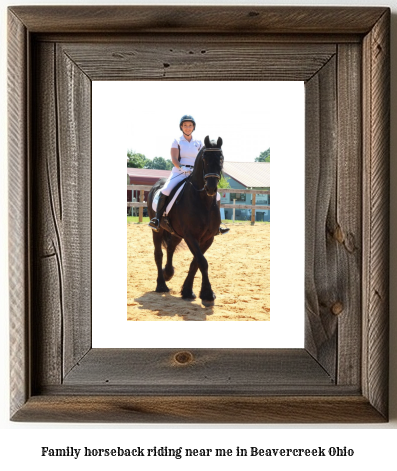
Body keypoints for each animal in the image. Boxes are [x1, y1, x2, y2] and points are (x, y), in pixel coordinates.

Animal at [147, 135, 224, 308]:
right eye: (205, 159)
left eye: (221, 159)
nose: (211, 188)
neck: (203, 201)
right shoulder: (190, 236)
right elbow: (202, 261)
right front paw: (208, 293)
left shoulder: (208, 238)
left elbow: (196, 262)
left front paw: (188, 291)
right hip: (157, 230)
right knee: (158, 254)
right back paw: (161, 285)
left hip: (175, 233)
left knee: (170, 248)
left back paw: (168, 273)